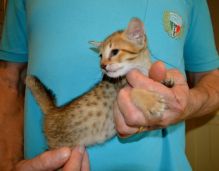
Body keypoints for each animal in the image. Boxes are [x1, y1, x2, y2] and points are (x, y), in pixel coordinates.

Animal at [25, 18, 166, 148]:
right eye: (100, 56)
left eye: (115, 52)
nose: (102, 66)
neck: (141, 68)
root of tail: (54, 110)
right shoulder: (120, 92)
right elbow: (134, 91)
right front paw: (151, 102)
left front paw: (168, 77)